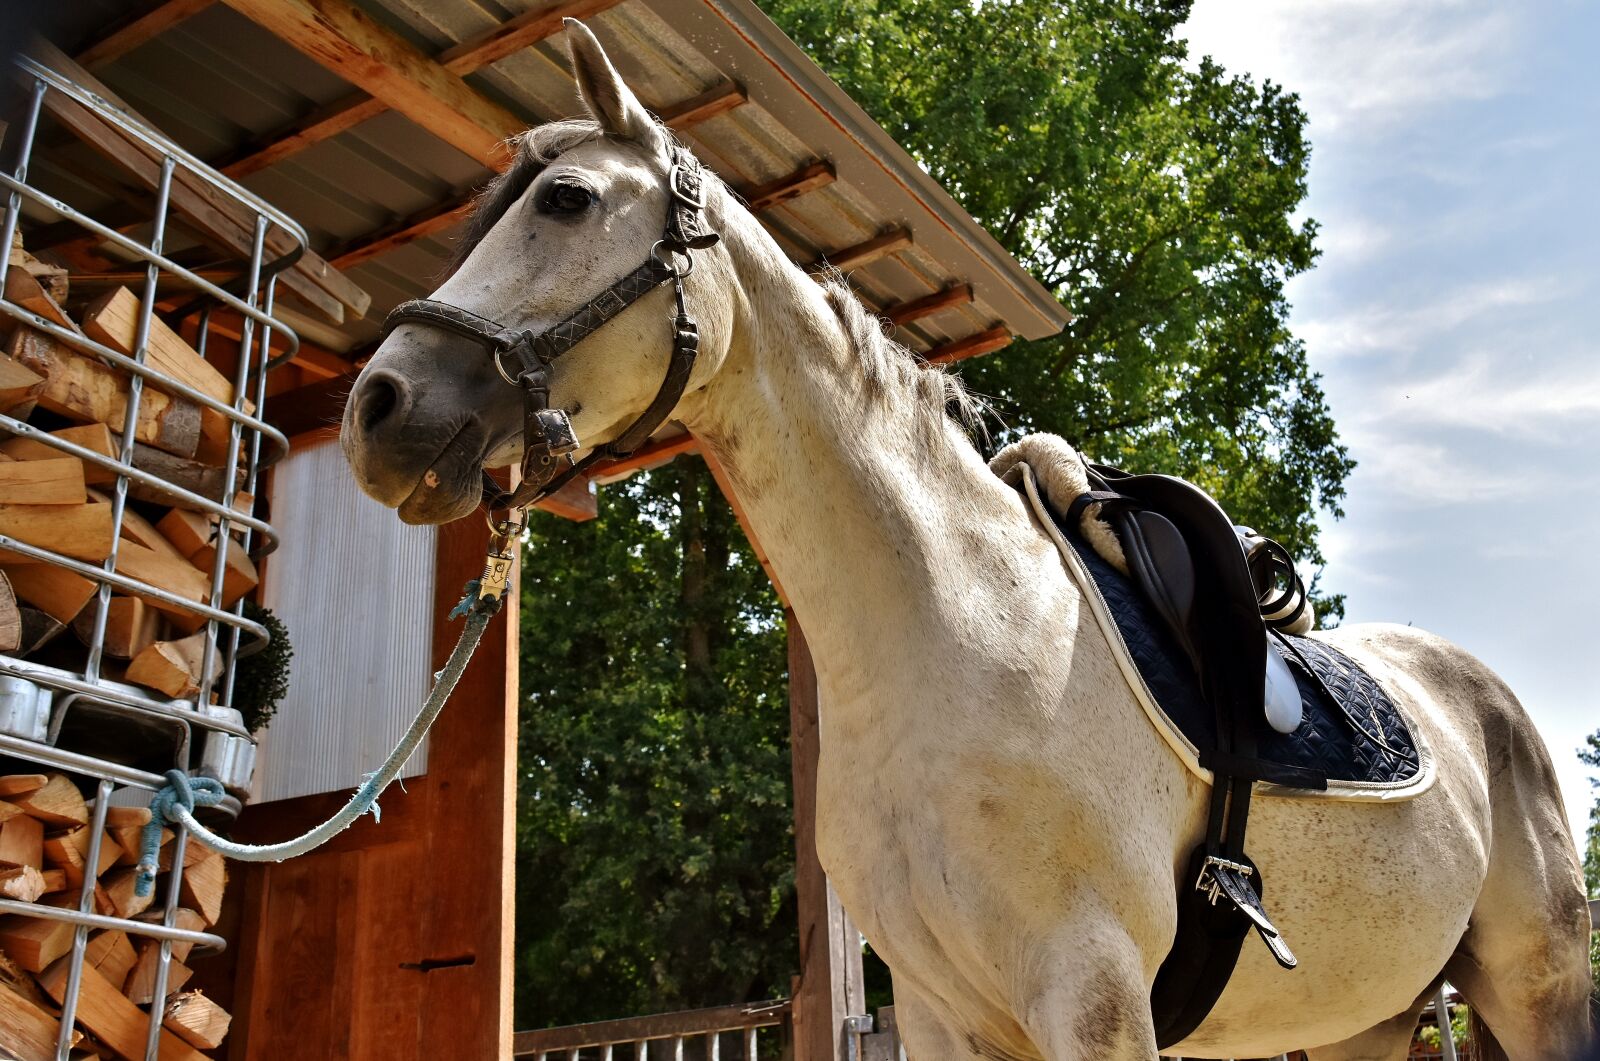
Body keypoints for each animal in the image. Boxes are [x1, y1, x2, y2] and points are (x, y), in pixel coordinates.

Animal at [340, 21, 1594, 1059]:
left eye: (563, 199)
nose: (378, 409)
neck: (952, 634)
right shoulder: (947, 1015)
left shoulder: (1091, 999)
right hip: (1357, 1024)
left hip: (1537, 991)